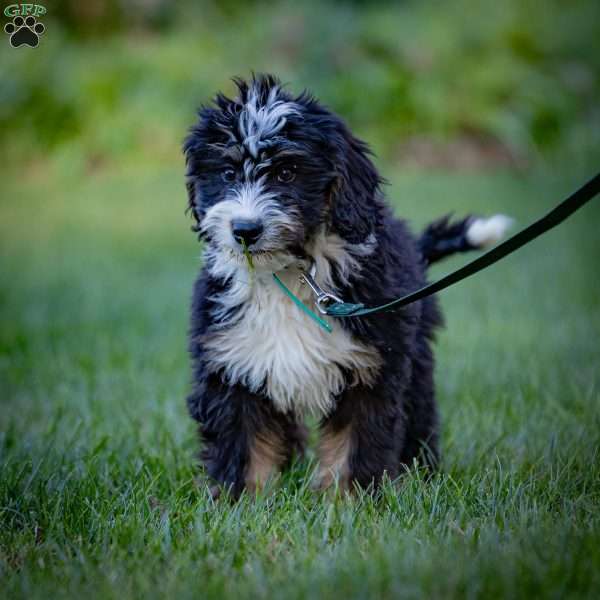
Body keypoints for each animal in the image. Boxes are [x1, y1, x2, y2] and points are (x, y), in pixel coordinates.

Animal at [184, 75, 510, 496]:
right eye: (226, 173)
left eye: (287, 173)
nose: (245, 229)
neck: (290, 272)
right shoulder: (232, 362)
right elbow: (241, 439)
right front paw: (242, 498)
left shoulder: (372, 366)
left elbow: (355, 440)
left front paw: (347, 499)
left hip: (415, 354)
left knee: (420, 410)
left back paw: (422, 471)